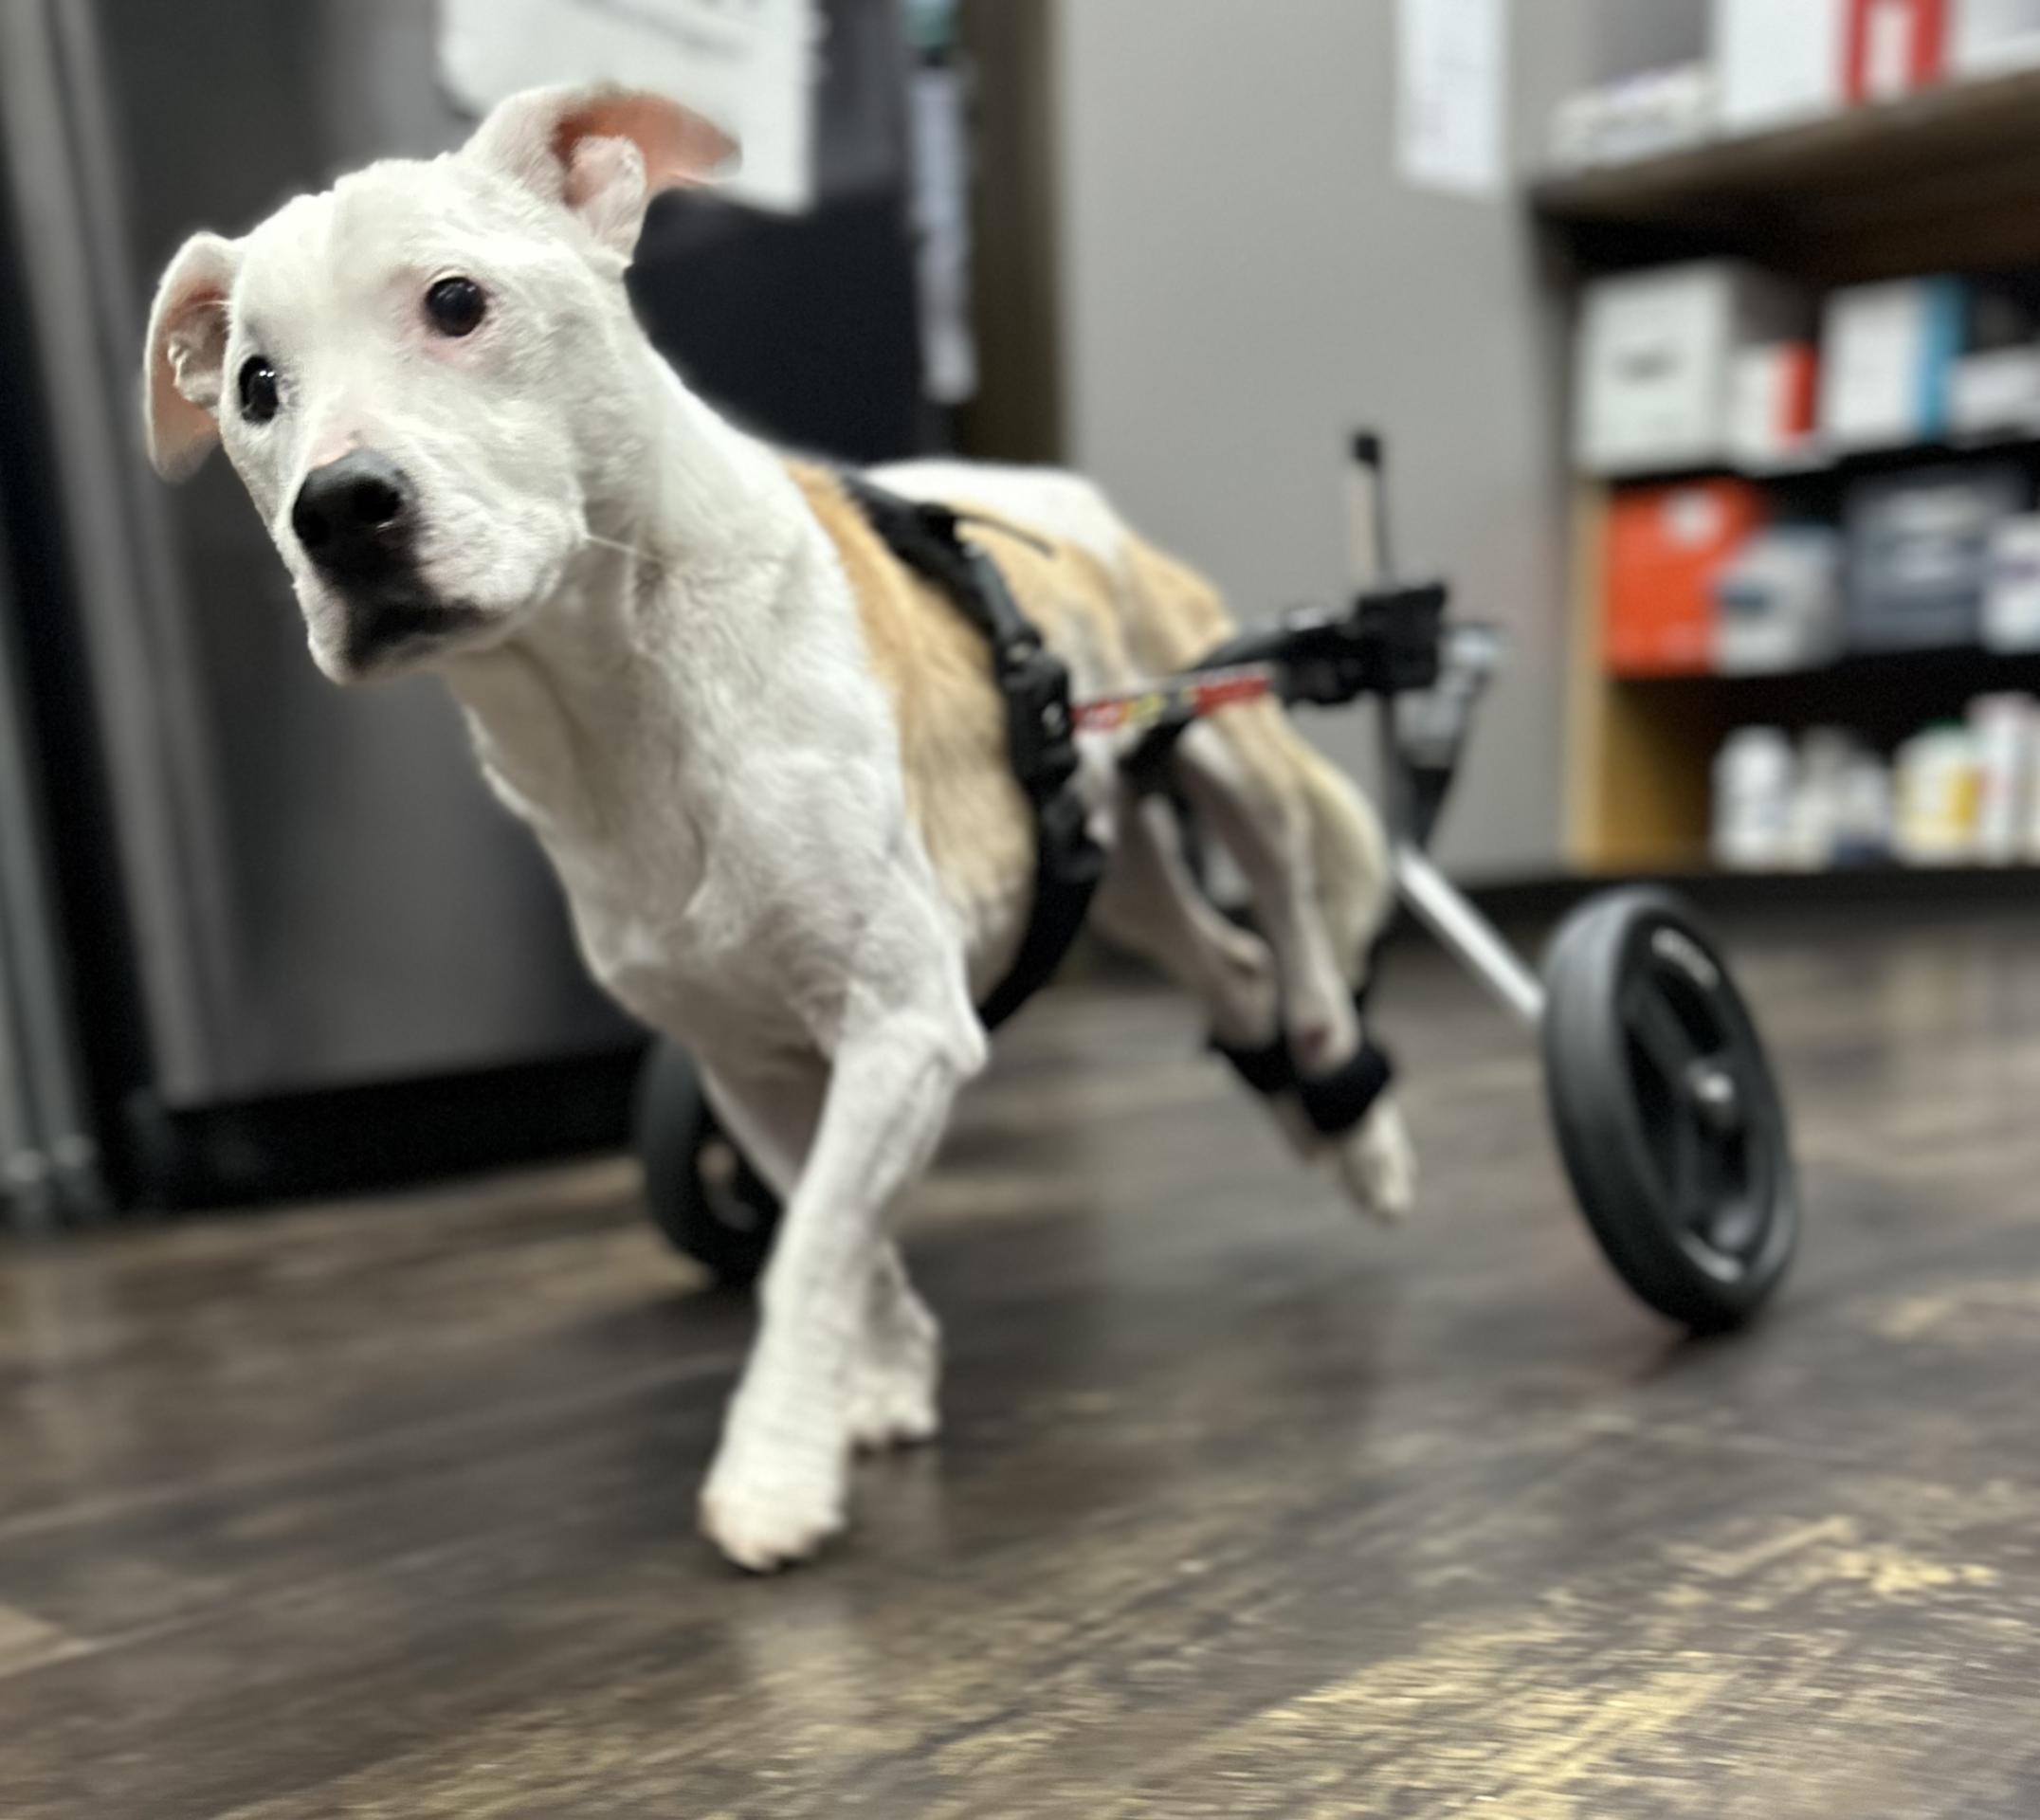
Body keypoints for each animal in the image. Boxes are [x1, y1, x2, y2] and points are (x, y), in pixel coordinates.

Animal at [143, 82, 1419, 1567]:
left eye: (456, 301)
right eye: (254, 387)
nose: (338, 511)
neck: (609, 702)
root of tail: (1065, 496)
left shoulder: (902, 1021)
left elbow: (810, 1251)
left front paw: (771, 1470)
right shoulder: (750, 1060)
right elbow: (836, 1229)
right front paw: (880, 1377)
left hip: (1221, 724)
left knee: (1295, 922)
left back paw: (1356, 1122)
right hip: (1118, 868)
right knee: (1234, 964)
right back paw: (1300, 1111)